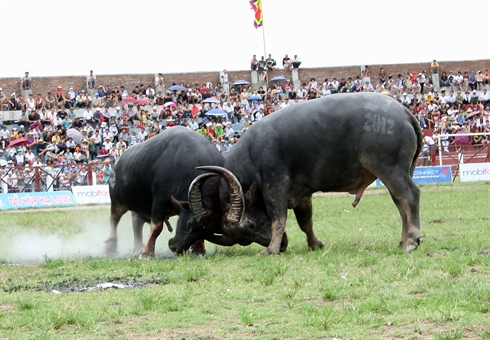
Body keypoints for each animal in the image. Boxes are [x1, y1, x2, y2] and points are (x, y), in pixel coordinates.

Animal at [107, 126, 224, 256]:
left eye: (209, 232)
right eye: (190, 224)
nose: (175, 248)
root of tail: (117, 165)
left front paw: (198, 250)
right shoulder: (160, 200)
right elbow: (157, 227)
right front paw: (146, 253)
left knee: (136, 221)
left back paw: (137, 247)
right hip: (117, 202)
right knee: (114, 218)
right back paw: (111, 246)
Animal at [168, 92, 422, 255]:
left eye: (250, 226)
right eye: (245, 239)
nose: (281, 246)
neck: (253, 154)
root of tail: (403, 111)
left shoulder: (276, 184)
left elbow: (279, 217)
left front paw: (270, 250)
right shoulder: (303, 194)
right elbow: (305, 222)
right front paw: (314, 244)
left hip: (390, 169)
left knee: (410, 196)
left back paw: (412, 241)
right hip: (398, 172)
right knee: (400, 203)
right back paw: (403, 241)